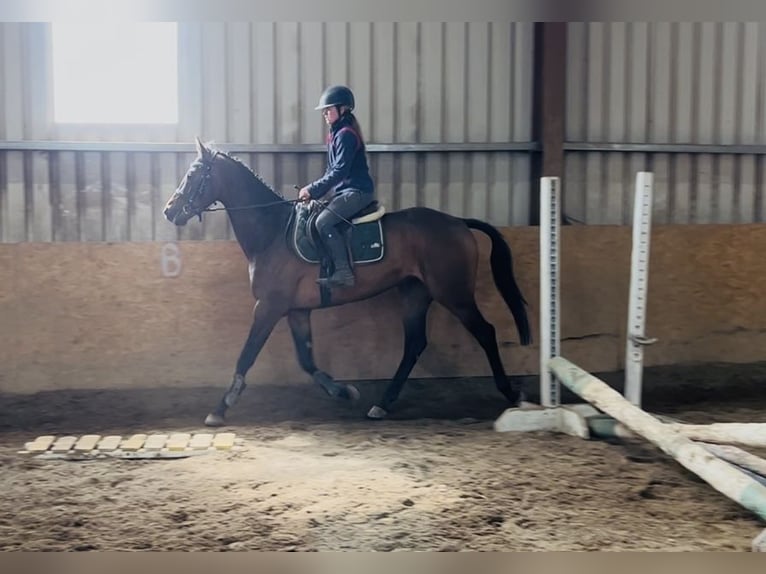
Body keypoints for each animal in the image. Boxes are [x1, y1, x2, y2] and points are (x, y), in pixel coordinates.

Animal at [162, 138, 532, 427]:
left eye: (193, 174)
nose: (169, 211)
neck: (272, 231)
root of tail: (457, 222)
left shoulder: (269, 306)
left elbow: (247, 355)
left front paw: (219, 409)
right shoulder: (296, 310)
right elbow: (306, 360)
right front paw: (342, 390)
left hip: (454, 294)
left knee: (485, 333)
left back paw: (511, 393)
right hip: (415, 293)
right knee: (415, 344)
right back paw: (381, 404)